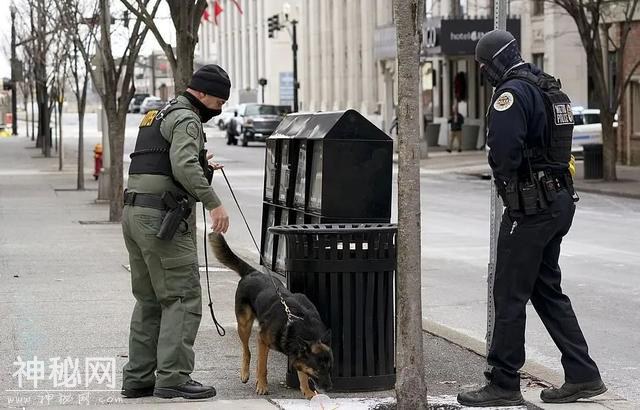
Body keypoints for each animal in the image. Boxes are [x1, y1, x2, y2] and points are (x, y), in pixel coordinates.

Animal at [209, 234, 332, 398]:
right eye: (318, 370)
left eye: (330, 368)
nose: (330, 388)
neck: (298, 323)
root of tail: (253, 272)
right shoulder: (262, 340)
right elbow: (262, 366)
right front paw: (262, 386)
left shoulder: (297, 354)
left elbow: (302, 374)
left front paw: (307, 391)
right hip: (244, 325)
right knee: (247, 351)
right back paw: (245, 373)